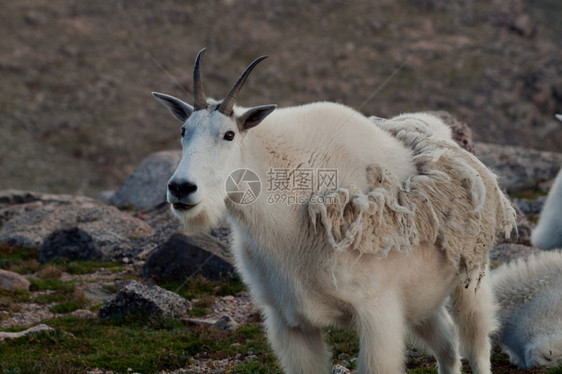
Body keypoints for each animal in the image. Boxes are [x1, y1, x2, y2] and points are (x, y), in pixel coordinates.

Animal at [151, 49, 516, 374]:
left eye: (228, 134)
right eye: (183, 131)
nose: (181, 188)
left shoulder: (376, 313)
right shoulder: (289, 322)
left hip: (470, 279)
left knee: (476, 344)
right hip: (422, 299)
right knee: (447, 346)